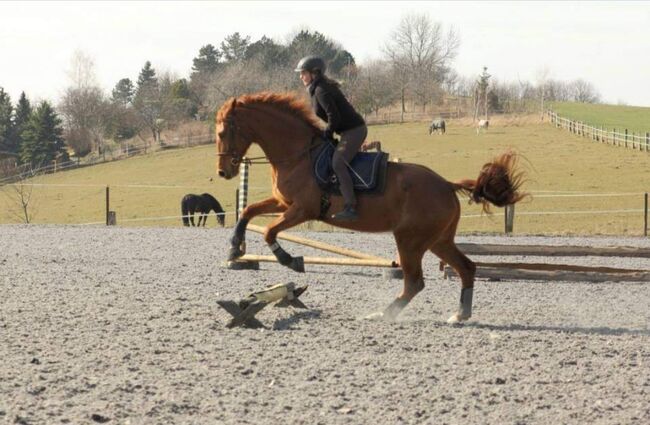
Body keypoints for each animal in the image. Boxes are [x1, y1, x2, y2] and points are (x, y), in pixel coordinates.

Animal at [215, 92, 524, 322]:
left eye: (224, 131)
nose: (223, 172)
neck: (298, 154)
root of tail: (446, 185)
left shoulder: (302, 209)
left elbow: (269, 231)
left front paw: (290, 260)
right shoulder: (283, 202)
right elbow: (248, 212)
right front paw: (234, 248)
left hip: (411, 240)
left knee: (415, 281)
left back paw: (383, 314)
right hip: (438, 240)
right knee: (466, 268)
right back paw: (459, 315)